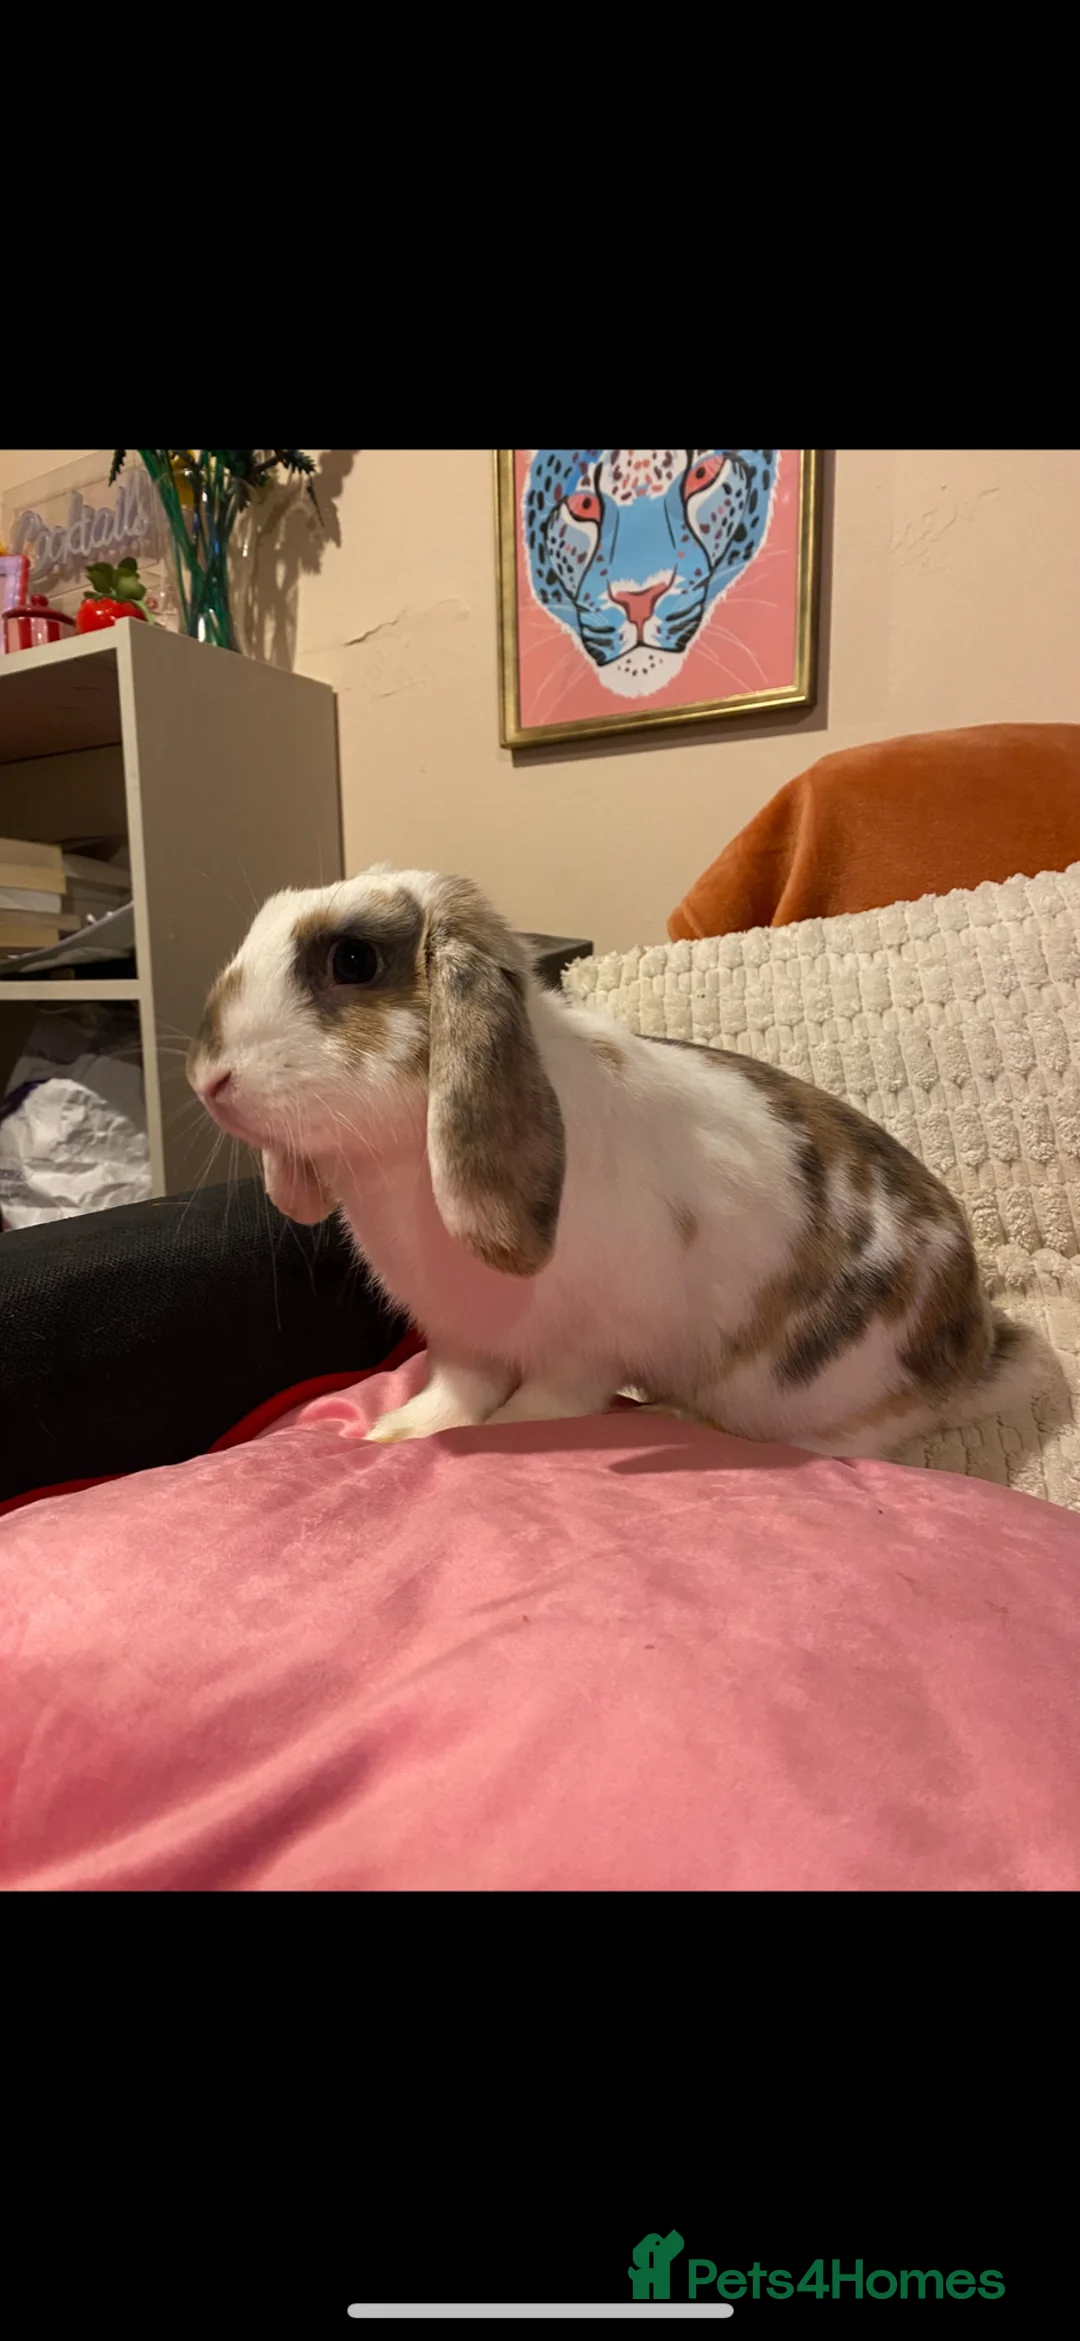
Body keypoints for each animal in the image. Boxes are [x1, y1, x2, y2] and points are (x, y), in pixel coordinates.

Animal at [187, 865, 1045, 1460]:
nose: (208, 1078)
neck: (401, 1164)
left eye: (354, 960)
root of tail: (978, 1344)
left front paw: (505, 1432)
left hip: (817, 1394)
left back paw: (680, 1415)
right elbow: (454, 1394)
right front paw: (397, 1434)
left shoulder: (587, 1348)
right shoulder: (460, 1338)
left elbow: (546, 1403)